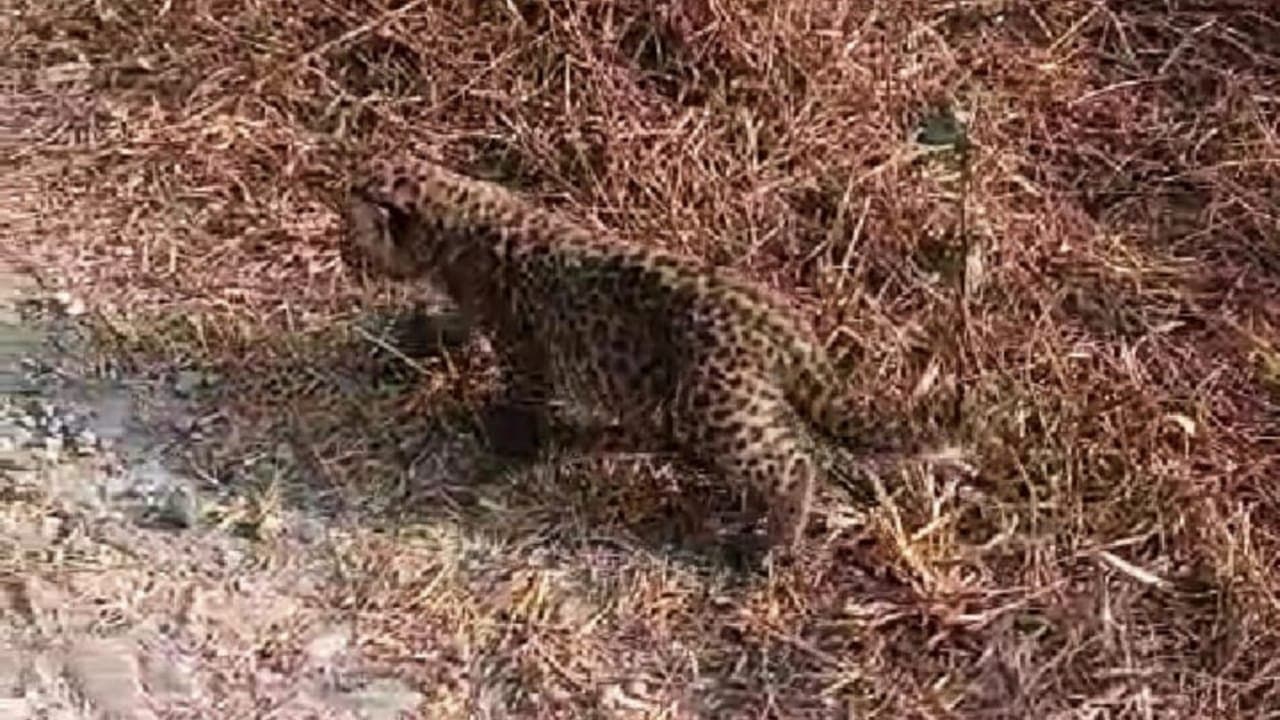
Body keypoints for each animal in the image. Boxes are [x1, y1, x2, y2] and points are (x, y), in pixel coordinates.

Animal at [339, 156, 888, 554]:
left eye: (354, 220)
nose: (345, 248)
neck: (455, 214)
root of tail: (778, 316)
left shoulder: (522, 347)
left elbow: (520, 397)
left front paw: (504, 445)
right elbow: (453, 324)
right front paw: (416, 333)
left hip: (717, 404)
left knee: (791, 462)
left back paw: (774, 543)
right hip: (737, 399)